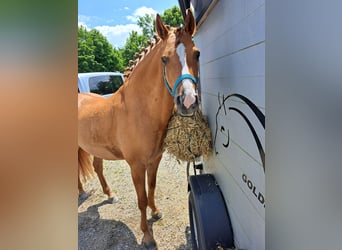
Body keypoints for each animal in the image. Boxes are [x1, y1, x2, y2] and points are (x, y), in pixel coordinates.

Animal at [78, 9, 199, 248]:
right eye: (164, 58)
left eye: (197, 54)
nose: (188, 102)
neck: (139, 111)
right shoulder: (135, 165)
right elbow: (141, 198)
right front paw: (147, 235)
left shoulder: (154, 160)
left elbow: (151, 187)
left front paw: (156, 212)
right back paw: (81, 194)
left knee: (98, 167)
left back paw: (110, 195)